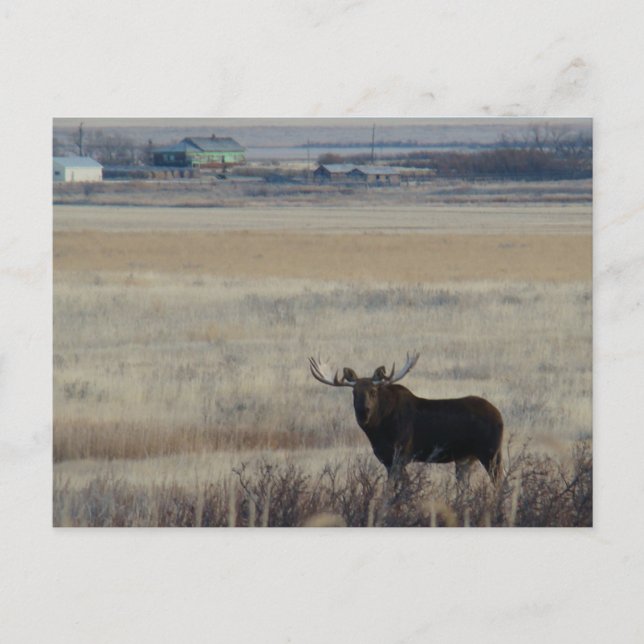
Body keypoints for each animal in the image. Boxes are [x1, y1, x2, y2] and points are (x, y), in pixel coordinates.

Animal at [309, 353, 504, 485]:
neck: (377, 431)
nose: (363, 412)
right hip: (465, 458)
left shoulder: (401, 455)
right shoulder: (387, 459)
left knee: (499, 483)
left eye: (373, 391)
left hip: (490, 452)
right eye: (354, 392)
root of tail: (500, 417)